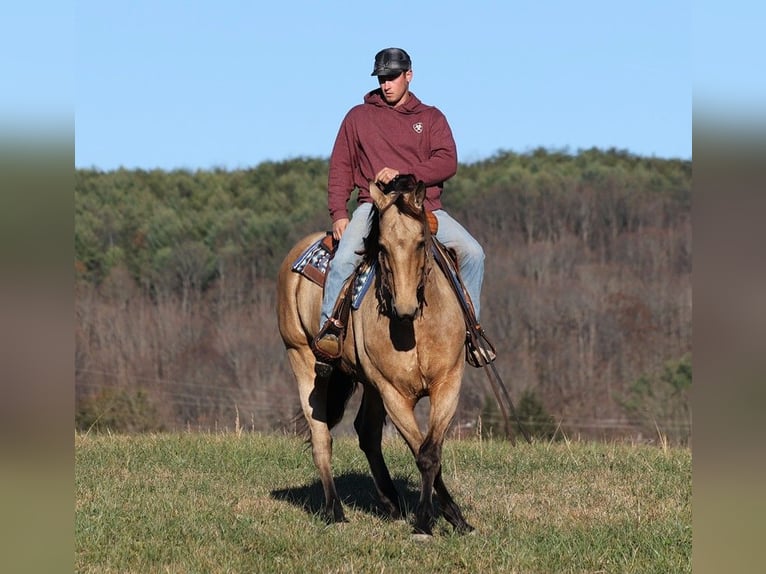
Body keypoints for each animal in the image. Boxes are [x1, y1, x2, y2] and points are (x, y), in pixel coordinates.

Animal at [280, 178, 474, 536]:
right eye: (381, 246)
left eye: (421, 242)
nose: (405, 306)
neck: (414, 329)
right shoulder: (394, 393)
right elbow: (423, 453)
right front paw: (425, 520)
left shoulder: (447, 384)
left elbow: (431, 450)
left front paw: (456, 518)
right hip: (302, 359)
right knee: (321, 437)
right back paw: (335, 510)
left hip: (367, 383)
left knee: (367, 433)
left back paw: (391, 502)